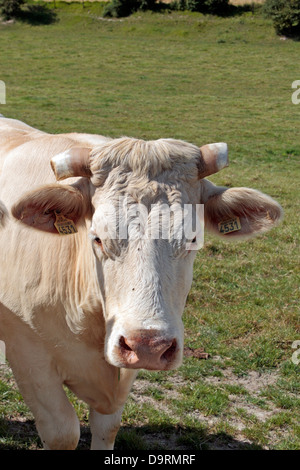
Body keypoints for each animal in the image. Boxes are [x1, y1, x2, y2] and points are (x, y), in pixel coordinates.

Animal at [0, 116, 282, 448]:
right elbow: (63, 431)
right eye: (97, 237)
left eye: (193, 238)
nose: (148, 346)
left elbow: (107, 426)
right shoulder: (28, 355)